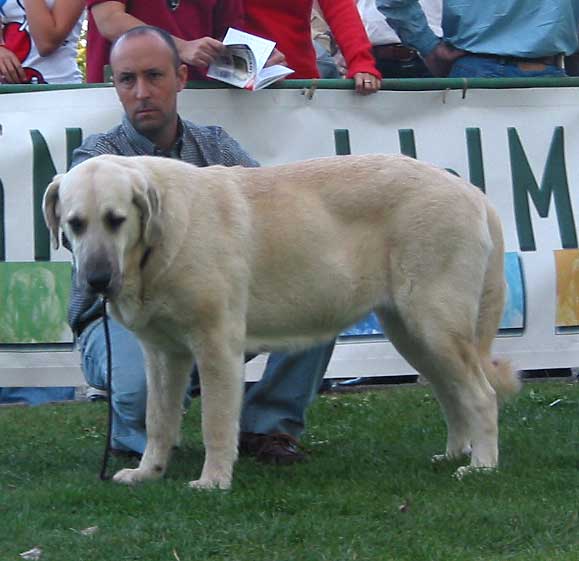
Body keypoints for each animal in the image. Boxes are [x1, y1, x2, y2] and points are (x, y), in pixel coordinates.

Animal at [43, 155, 520, 488]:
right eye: (75, 224)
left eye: (116, 220)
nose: (97, 278)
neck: (154, 244)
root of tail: (472, 192)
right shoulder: (163, 354)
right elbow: (158, 421)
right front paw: (148, 473)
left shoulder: (216, 347)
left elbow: (216, 422)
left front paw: (213, 481)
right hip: (412, 333)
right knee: (451, 394)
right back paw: (456, 454)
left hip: (435, 324)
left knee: (479, 395)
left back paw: (482, 466)